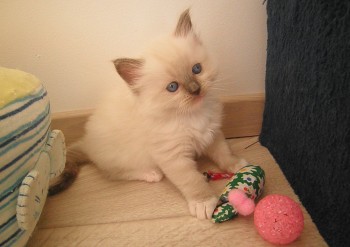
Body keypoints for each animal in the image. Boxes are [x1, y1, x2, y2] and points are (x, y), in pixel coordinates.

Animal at [49, 9, 247, 220]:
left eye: (197, 69)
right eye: (173, 87)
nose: (195, 90)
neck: (192, 115)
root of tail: (87, 141)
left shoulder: (212, 133)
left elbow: (223, 152)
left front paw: (236, 164)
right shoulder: (173, 156)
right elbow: (192, 180)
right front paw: (203, 202)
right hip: (123, 157)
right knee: (113, 173)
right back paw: (151, 174)